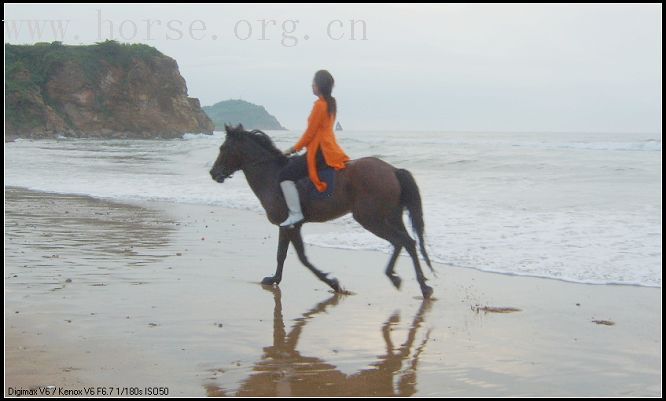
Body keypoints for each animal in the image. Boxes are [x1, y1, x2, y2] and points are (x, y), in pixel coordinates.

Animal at [209, 123, 436, 298]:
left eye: (223, 148)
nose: (213, 173)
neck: (272, 175)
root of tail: (393, 170)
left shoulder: (290, 225)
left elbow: (301, 258)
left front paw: (333, 283)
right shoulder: (288, 226)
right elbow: (281, 255)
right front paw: (274, 279)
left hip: (371, 218)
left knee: (401, 241)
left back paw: (403, 280)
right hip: (391, 216)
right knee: (408, 242)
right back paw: (421, 284)